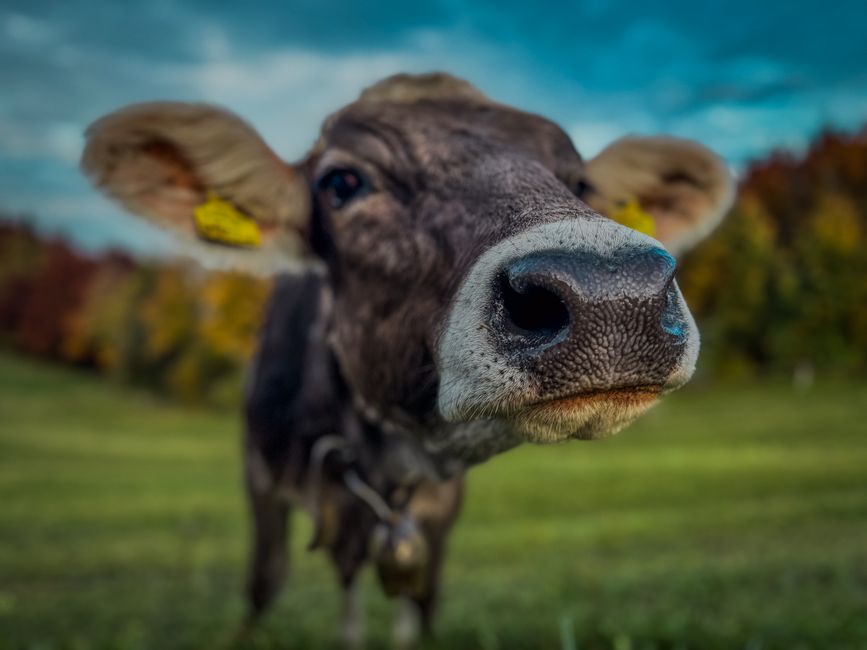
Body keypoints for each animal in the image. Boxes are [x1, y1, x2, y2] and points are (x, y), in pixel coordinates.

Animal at [80, 72, 734, 648]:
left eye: (579, 181)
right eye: (341, 182)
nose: (613, 295)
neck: (381, 462)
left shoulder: (438, 508)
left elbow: (420, 599)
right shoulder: (260, 472)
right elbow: (272, 581)